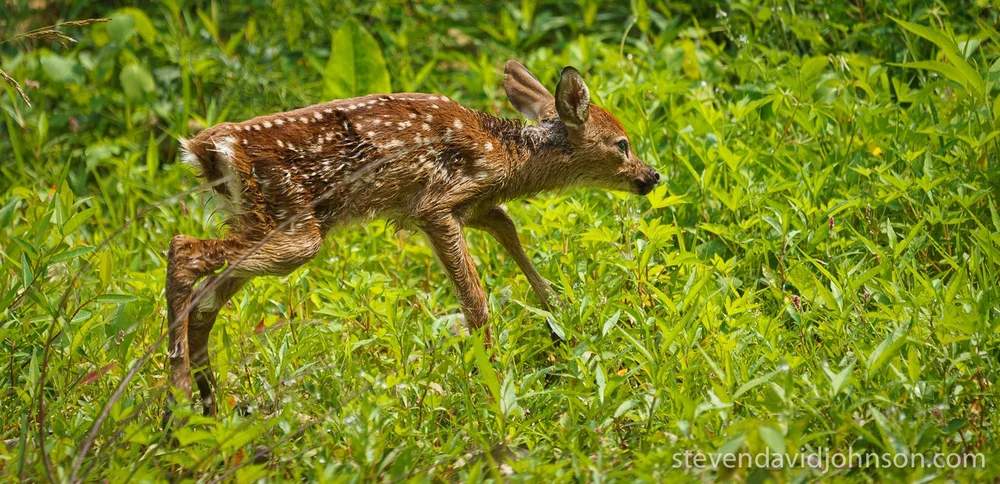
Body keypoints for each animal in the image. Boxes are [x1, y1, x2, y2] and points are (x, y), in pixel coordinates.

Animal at [167, 60, 660, 420]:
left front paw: (561, 321)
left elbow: (509, 229)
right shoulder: (436, 204)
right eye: (621, 144)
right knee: (184, 251)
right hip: (294, 227)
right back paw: (178, 400)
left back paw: (207, 408)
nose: (651, 176)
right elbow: (476, 303)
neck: (507, 156)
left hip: (259, 219)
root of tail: (206, 150)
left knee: (206, 298)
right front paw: (497, 389)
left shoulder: (474, 205)